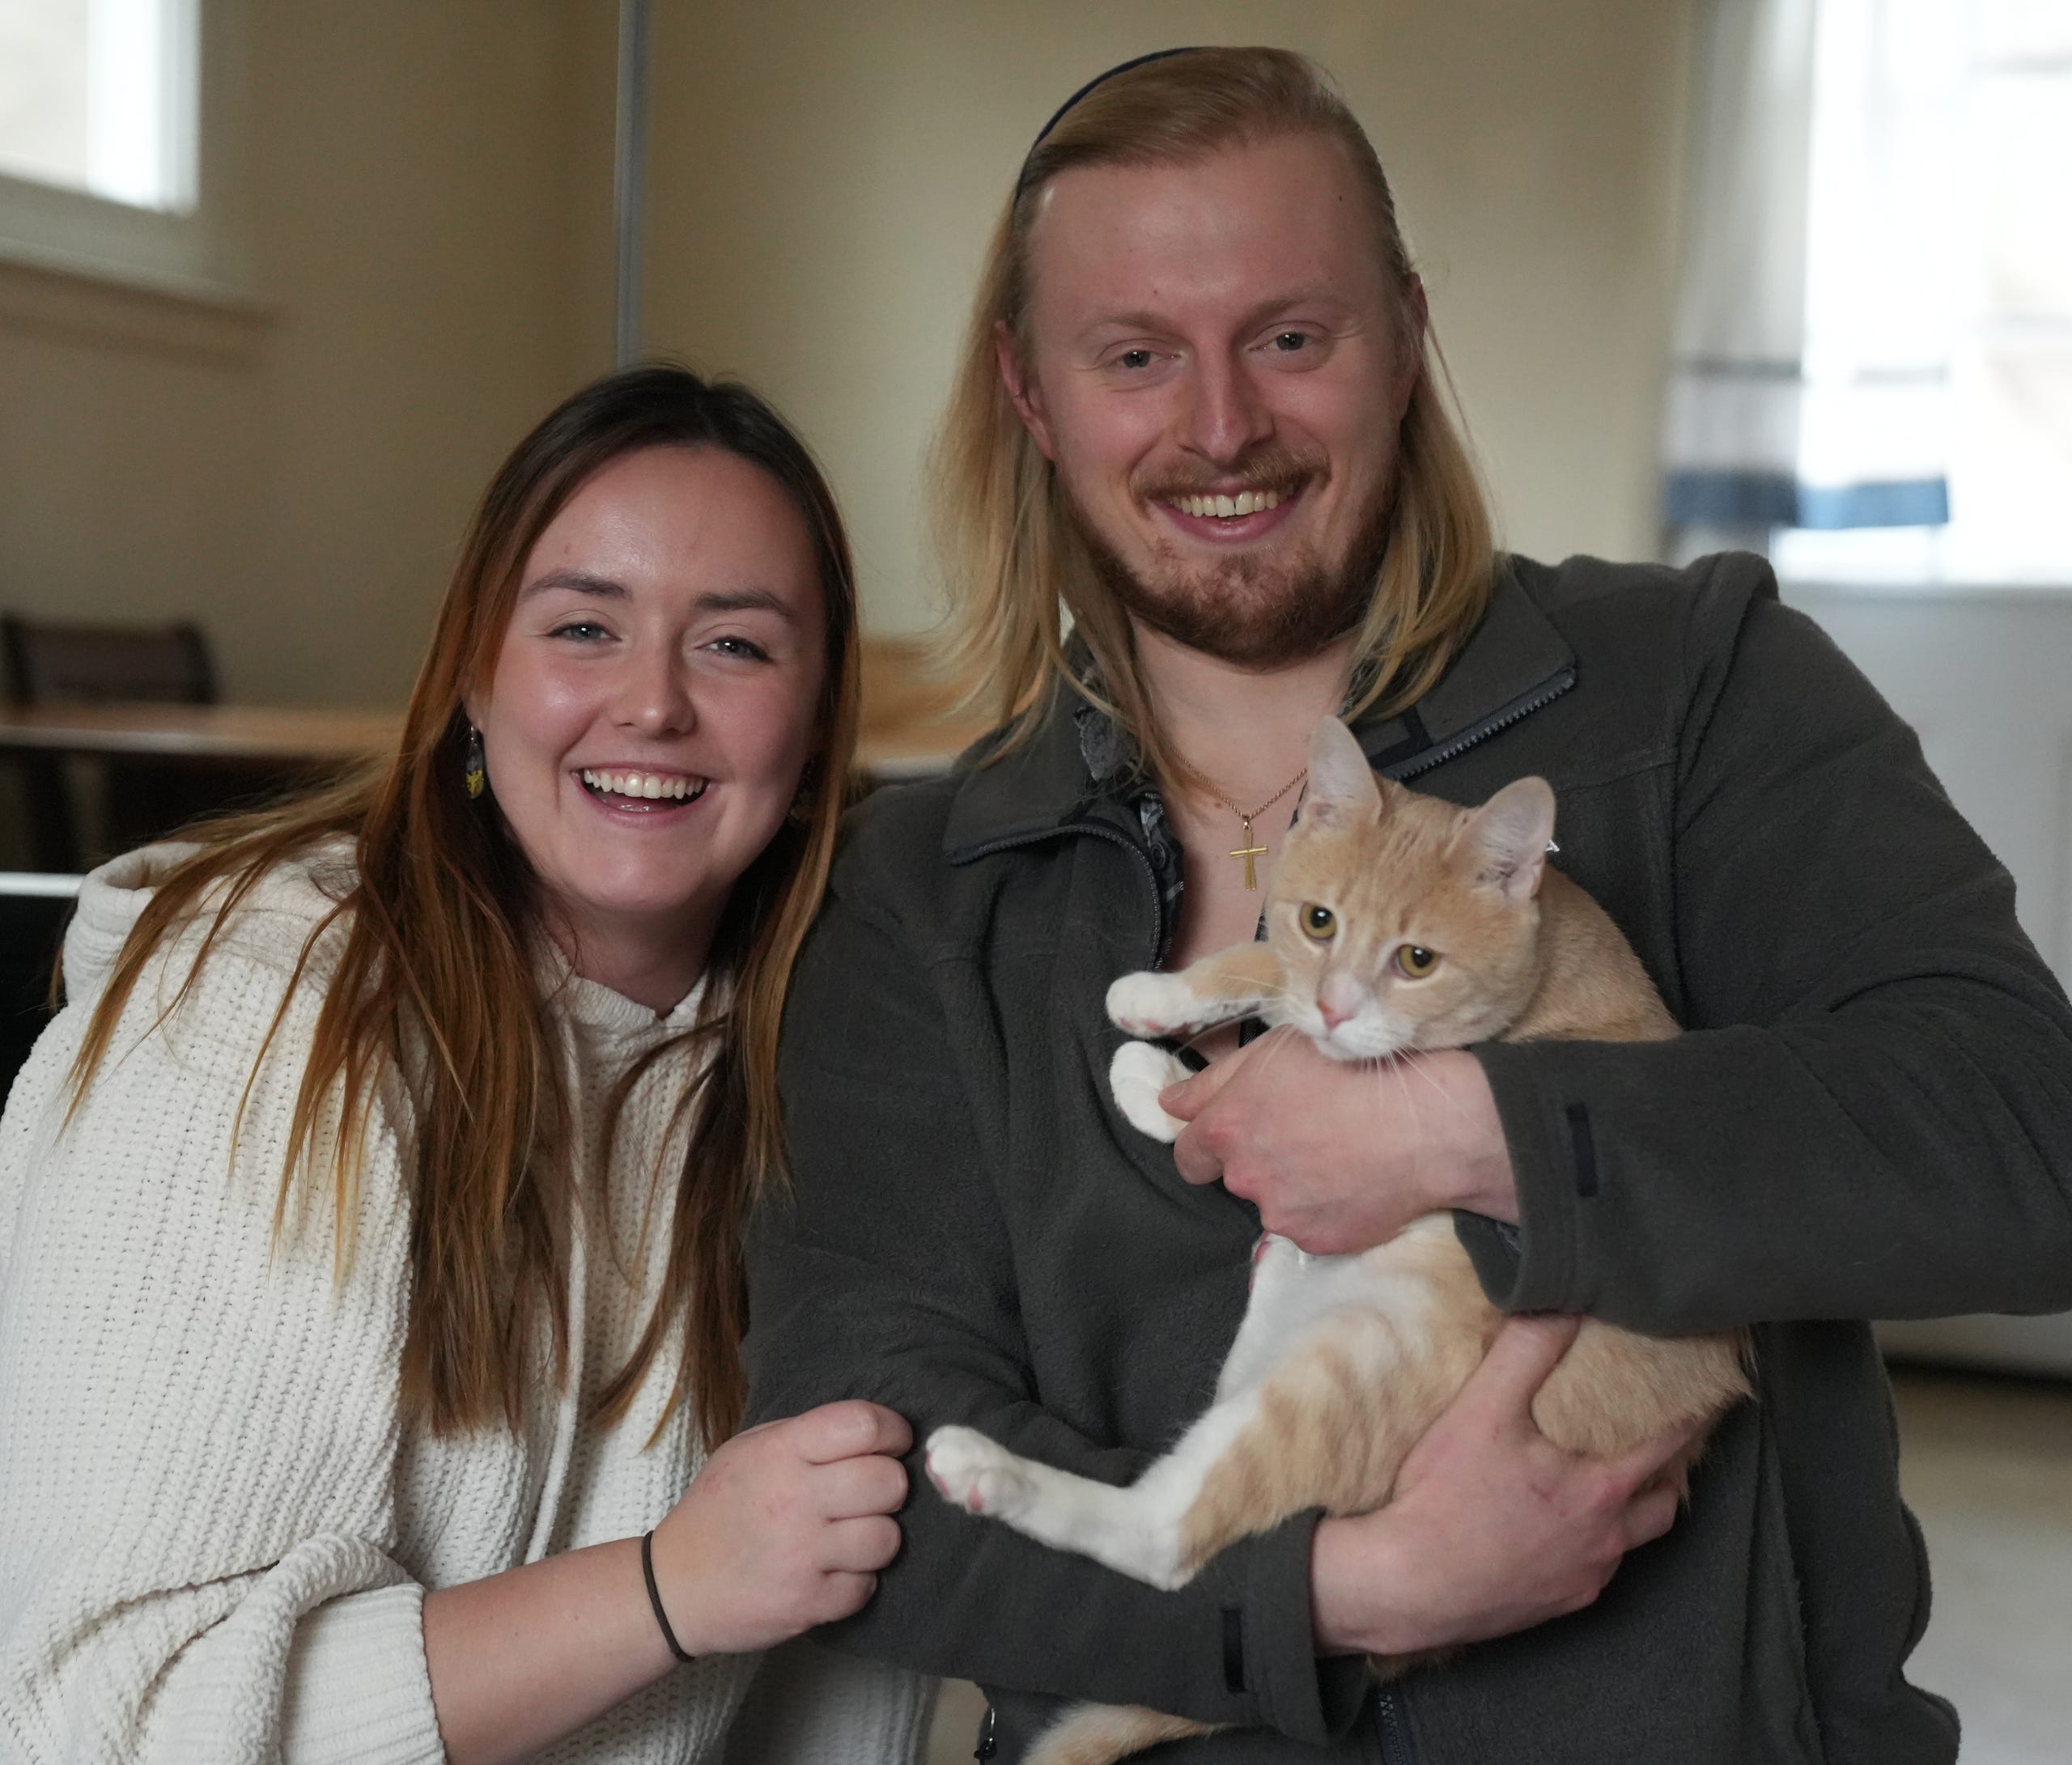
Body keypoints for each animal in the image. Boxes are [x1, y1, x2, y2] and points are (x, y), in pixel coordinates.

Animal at [923, 712, 1748, 1765]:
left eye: (1417, 961)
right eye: (1319, 920)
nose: (1337, 1005)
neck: (1553, 958)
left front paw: (1188, 1062)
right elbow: (1257, 994)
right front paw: (1165, 1027)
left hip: (1354, 1358)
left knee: (1166, 1535)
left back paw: (986, 1470)